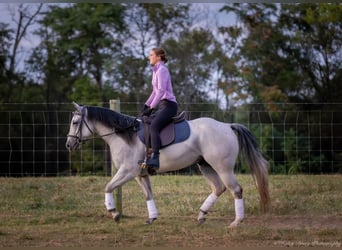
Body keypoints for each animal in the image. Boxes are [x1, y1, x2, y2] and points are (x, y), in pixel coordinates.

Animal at [67, 102, 270, 228]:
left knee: (236, 189)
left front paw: (114, 213)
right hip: (205, 165)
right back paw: (201, 215)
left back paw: (236, 222)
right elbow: (148, 195)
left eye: (75, 122)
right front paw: (152, 218)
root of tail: (227, 126)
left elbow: (108, 187)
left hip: (223, 167)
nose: (69, 145)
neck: (124, 134)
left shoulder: (128, 171)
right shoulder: (140, 174)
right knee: (218, 188)